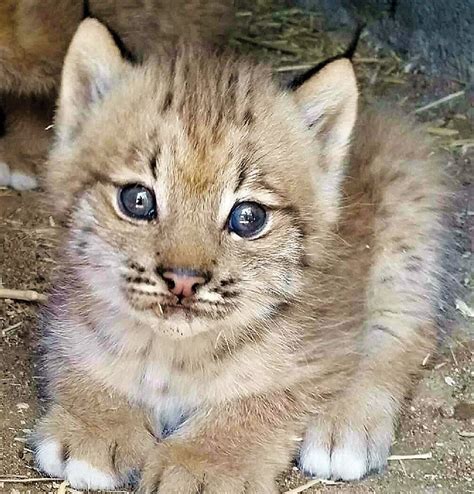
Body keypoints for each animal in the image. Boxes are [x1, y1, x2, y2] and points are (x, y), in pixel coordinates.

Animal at [33, 18, 448, 494]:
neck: (173, 352)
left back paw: (346, 428)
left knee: (403, 337)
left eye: (248, 217)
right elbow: (84, 354)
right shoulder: (70, 307)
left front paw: (204, 464)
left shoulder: (323, 344)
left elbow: (262, 397)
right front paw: (97, 425)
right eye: (137, 200)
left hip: (408, 238)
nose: (184, 280)